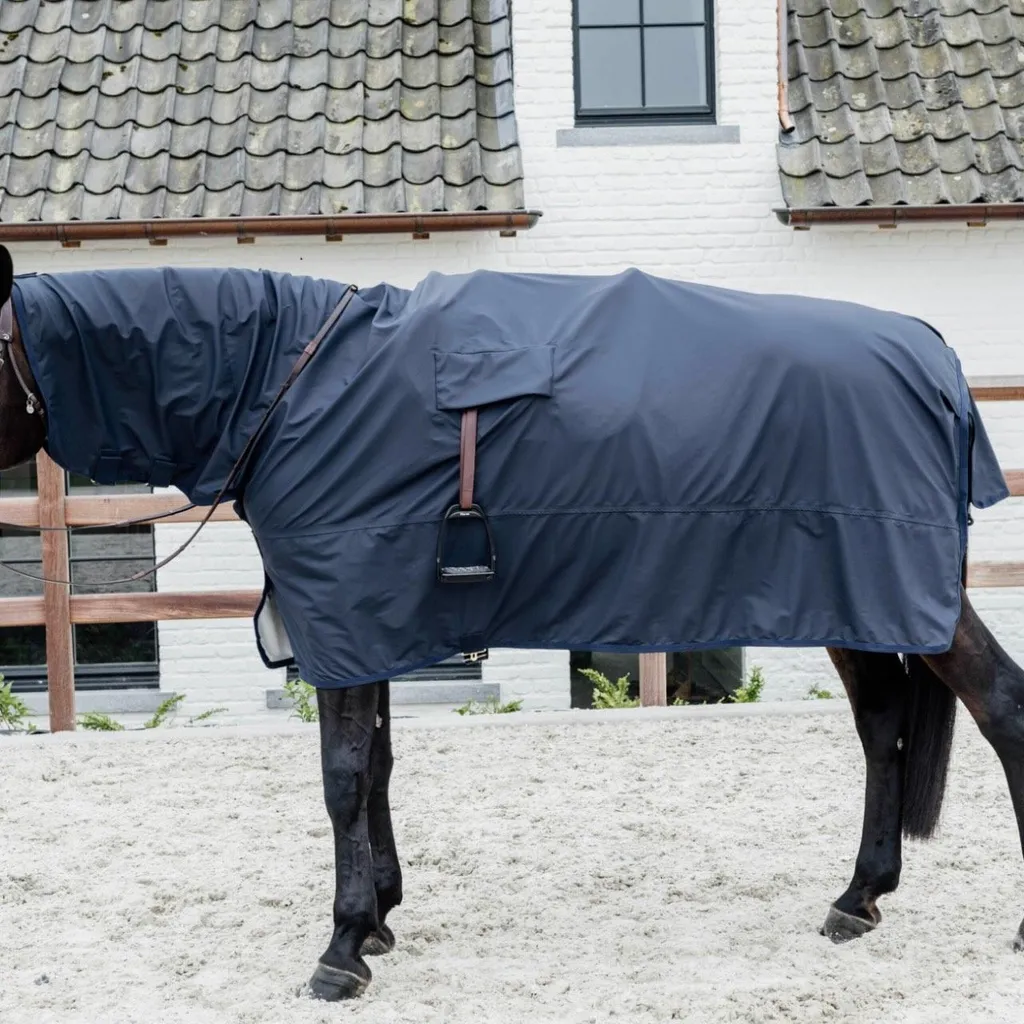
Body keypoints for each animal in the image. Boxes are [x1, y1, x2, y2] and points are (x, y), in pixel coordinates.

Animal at [3, 241, 1024, 1002]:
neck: (294, 383)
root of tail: (932, 354)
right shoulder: (367, 623)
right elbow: (378, 768)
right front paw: (380, 916)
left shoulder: (345, 619)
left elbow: (341, 780)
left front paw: (341, 949)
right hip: (856, 599)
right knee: (884, 725)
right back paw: (858, 897)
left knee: (1000, 710)